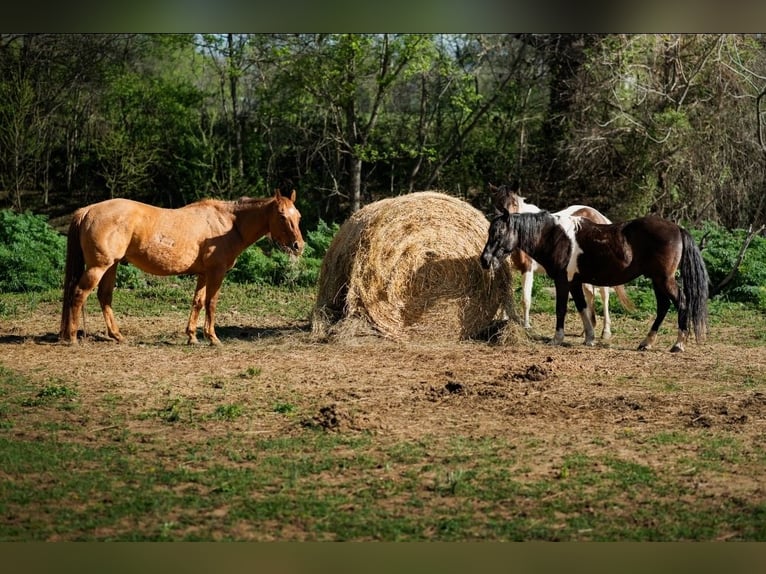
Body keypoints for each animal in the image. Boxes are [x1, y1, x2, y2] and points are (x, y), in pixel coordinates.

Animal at [58, 191, 304, 348]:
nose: (298, 246)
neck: (228, 224)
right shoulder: (216, 273)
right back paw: (72, 337)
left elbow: (198, 302)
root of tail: (88, 210)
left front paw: (192, 336)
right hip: (99, 267)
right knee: (79, 294)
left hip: (111, 266)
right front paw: (212, 338)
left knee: (104, 297)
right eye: (282, 216)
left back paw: (116, 335)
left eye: (298, 216)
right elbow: (211, 303)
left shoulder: (204, 274)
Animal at [484, 209, 712, 354]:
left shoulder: (563, 281)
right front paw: (590, 338)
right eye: (489, 231)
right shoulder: (575, 283)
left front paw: (557, 339)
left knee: (681, 302)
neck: (555, 236)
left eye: (500, 232)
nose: (485, 260)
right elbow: (583, 307)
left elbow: (561, 309)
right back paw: (646, 342)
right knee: (663, 306)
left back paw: (678, 344)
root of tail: (678, 229)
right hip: (657, 280)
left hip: (664, 280)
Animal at [492, 182, 636, 340]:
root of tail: (600, 218)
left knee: (604, 296)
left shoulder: (527, 269)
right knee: (590, 294)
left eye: (514, 203)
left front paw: (527, 326)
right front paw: (504, 321)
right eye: (497, 203)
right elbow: (506, 297)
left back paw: (605, 332)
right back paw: (587, 330)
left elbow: (525, 299)